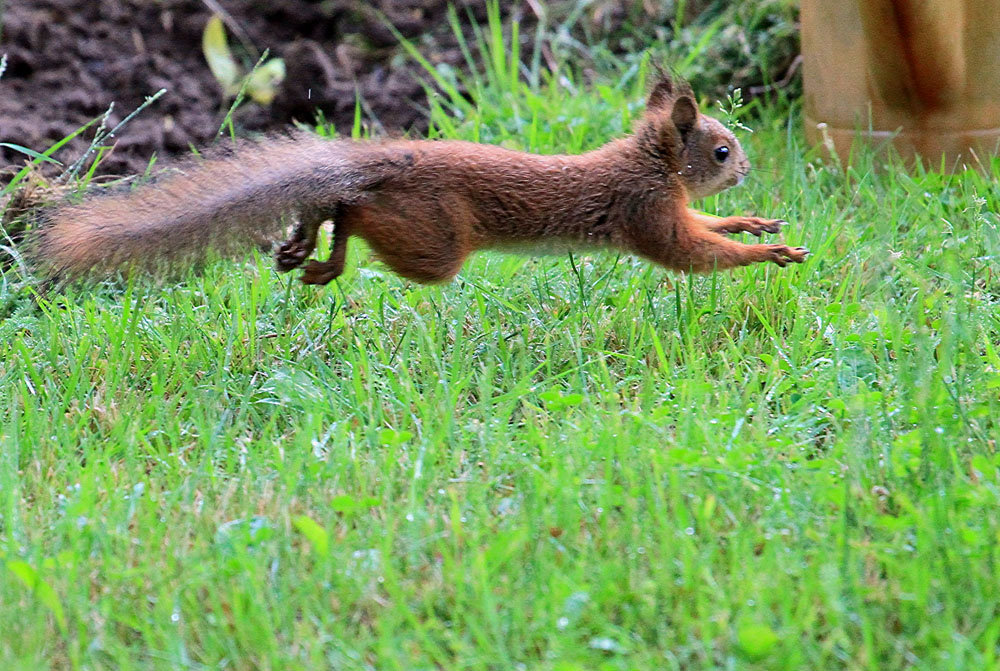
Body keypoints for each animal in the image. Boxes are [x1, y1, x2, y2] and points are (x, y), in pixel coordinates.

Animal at [29, 75, 804, 288]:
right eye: (723, 150)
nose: (749, 170)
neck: (647, 162)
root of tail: (382, 162)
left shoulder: (665, 205)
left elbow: (706, 230)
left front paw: (756, 223)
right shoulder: (644, 210)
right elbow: (691, 253)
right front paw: (769, 253)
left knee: (341, 207)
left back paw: (308, 245)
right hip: (434, 242)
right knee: (353, 210)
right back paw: (323, 247)